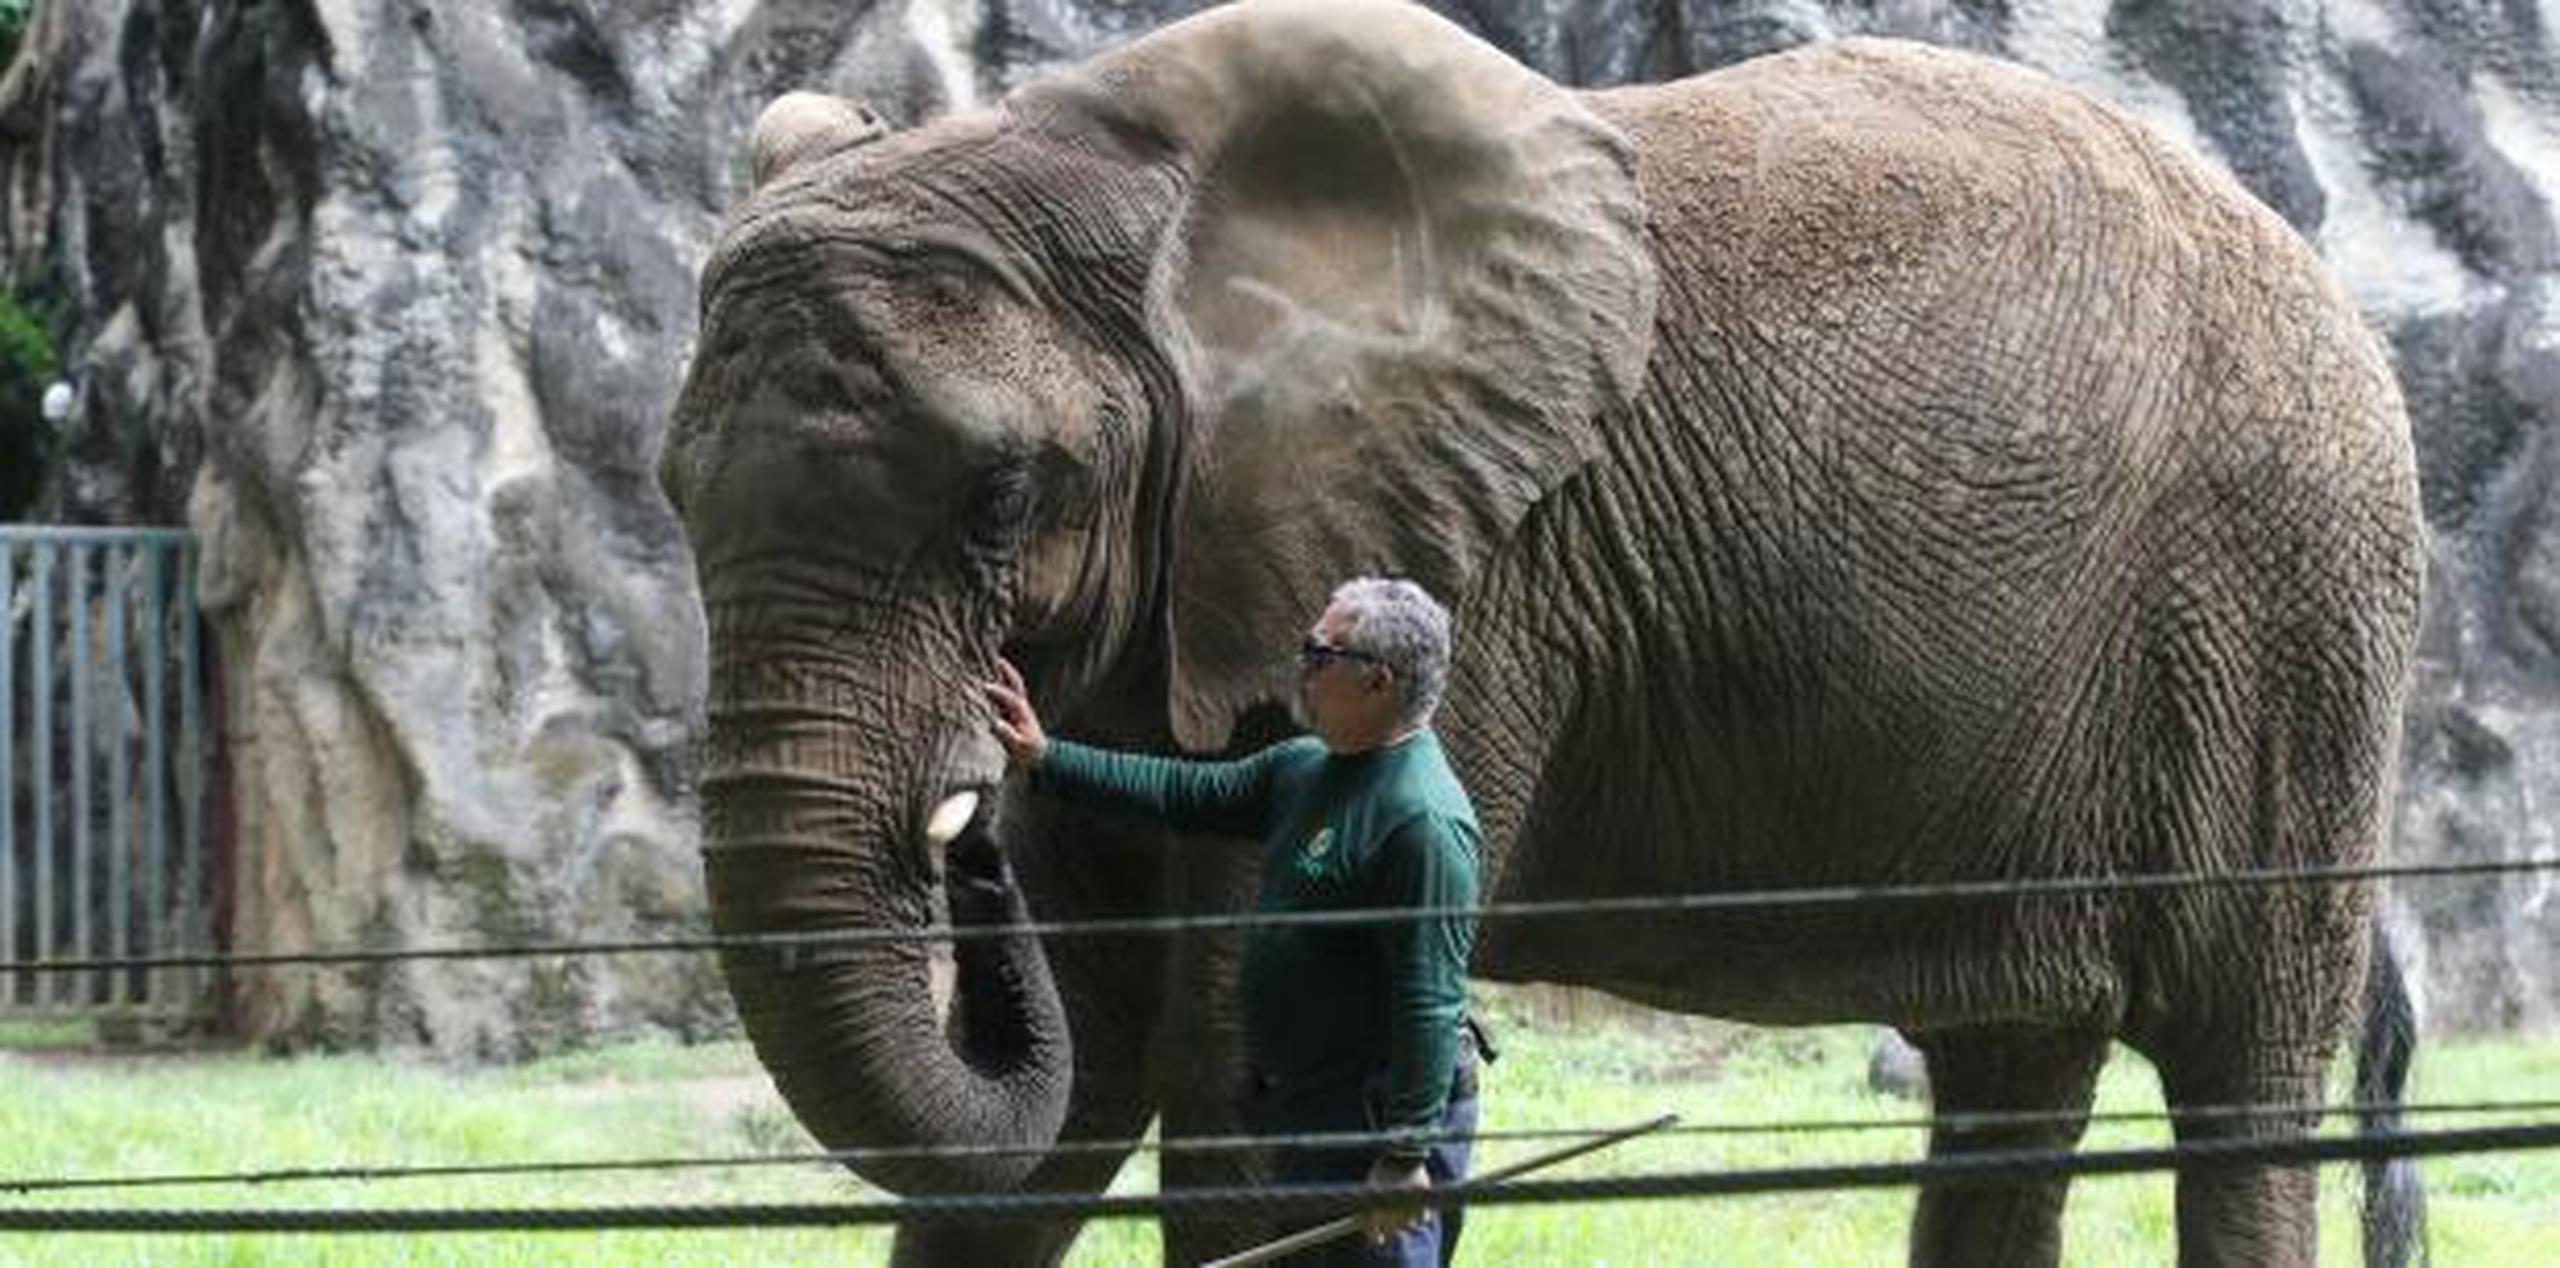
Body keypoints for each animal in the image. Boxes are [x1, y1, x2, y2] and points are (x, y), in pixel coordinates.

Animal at [655, 4, 2416, 1265]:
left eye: (1004, 496)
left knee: (2244, 1084)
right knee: (2013, 1077)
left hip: (2286, 618)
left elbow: (1237, 1076)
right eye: (671, 492)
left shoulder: (1465, 562)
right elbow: (1066, 1086)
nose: (966, 811)